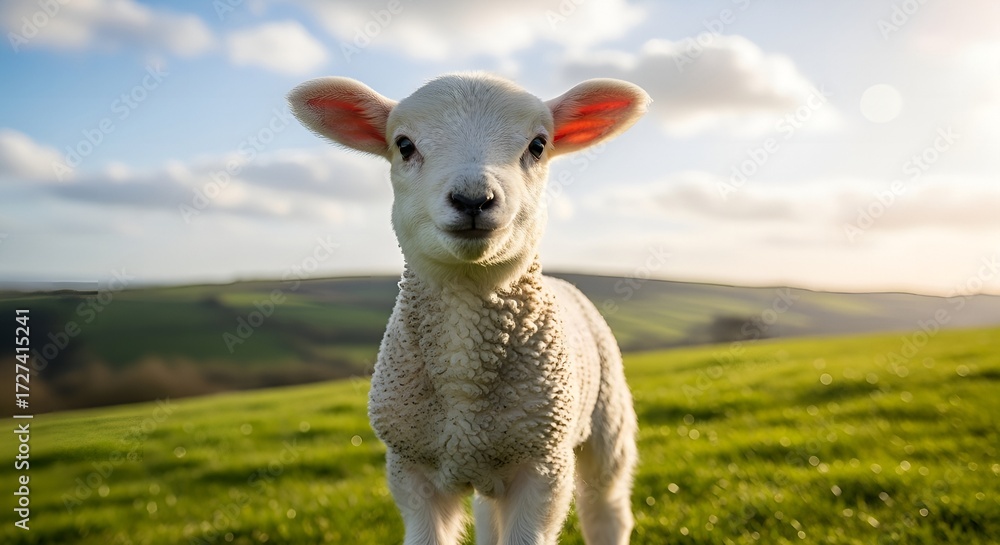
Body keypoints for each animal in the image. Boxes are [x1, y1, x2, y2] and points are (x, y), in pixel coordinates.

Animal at [288, 72, 649, 545]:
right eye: (404, 145)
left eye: (538, 145)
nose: (473, 199)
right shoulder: (410, 468)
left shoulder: (543, 464)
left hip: (606, 419)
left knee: (606, 507)